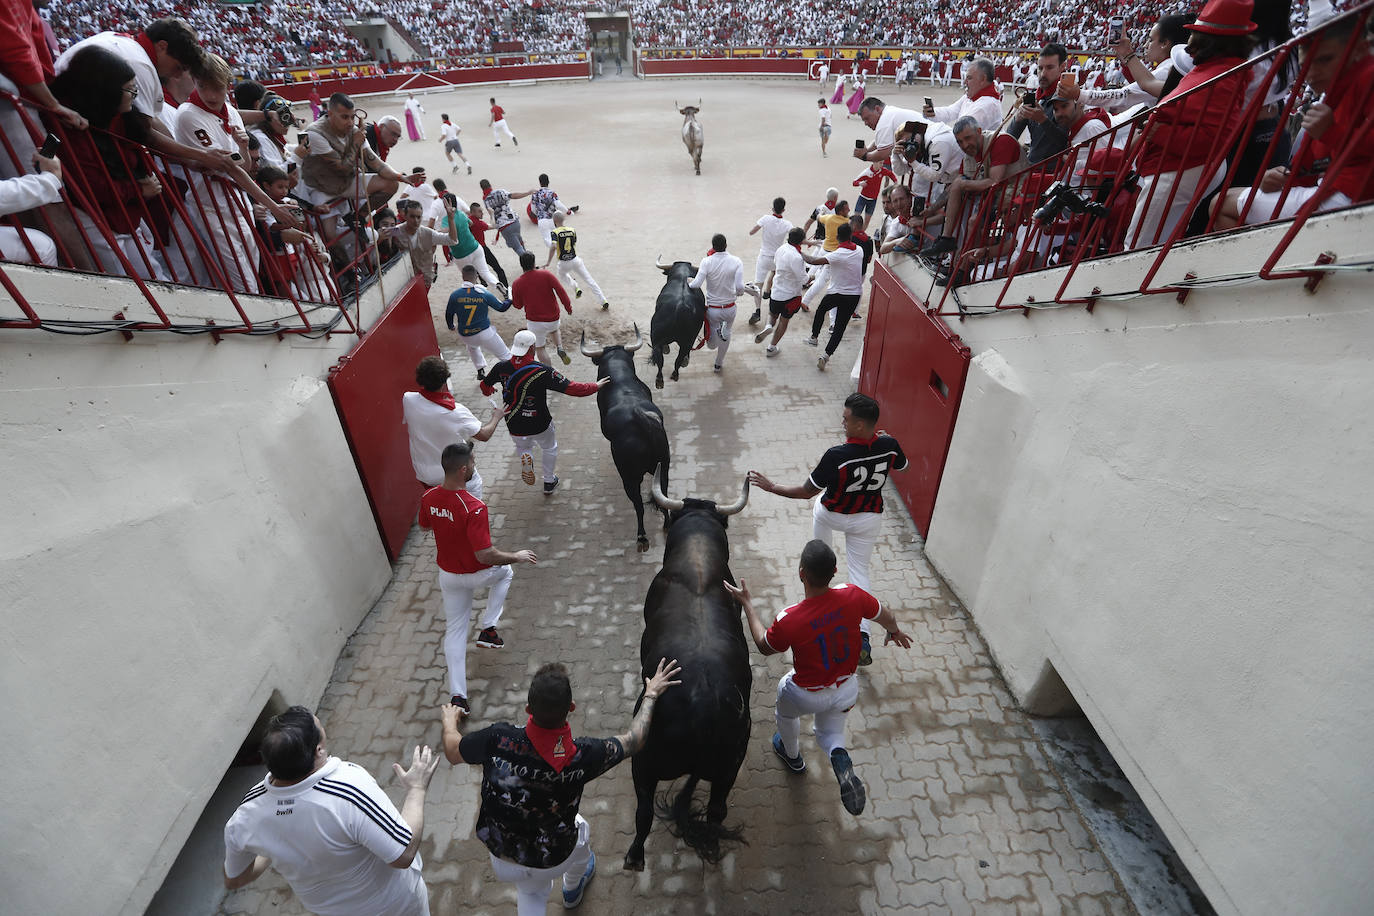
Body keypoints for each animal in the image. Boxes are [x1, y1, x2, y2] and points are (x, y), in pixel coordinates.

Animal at [579, 328, 670, 552]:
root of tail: (641, 421)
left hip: (629, 477)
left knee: (638, 505)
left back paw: (642, 537)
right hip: (664, 467)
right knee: (663, 495)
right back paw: (667, 524)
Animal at [645, 256, 703, 390]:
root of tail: (681, 307)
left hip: (656, 339)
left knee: (660, 360)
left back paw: (660, 380)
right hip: (686, 341)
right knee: (679, 358)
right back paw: (675, 373)